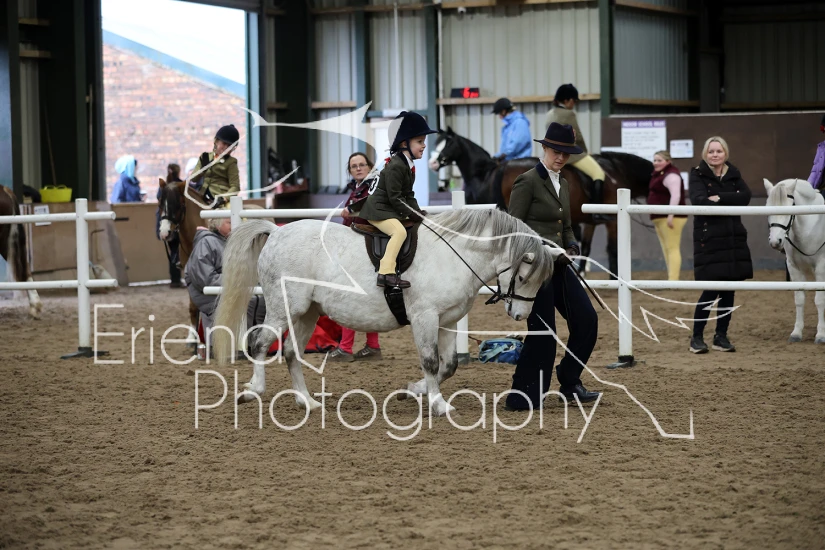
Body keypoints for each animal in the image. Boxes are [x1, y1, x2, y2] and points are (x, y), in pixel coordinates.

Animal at [212, 208, 563, 417]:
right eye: (524, 277)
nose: (520, 316)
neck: (454, 255)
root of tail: (277, 231)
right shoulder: (424, 317)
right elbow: (431, 362)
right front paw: (437, 404)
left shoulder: (447, 321)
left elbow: (448, 366)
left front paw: (413, 391)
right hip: (284, 307)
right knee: (260, 343)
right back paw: (252, 392)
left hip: (307, 313)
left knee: (289, 352)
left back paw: (307, 401)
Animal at [430, 128, 653, 276]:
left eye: (447, 144)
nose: (432, 163)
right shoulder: (611, 220)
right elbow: (613, 250)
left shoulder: (591, 221)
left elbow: (589, 247)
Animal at [764, 178, 825, 344]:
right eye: (767, 208)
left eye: (789, 209)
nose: (775, 242)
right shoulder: (794, 268)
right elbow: (799, 299)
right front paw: (796, 333)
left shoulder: (821, 268)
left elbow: (819, 300)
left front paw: (821, 334)